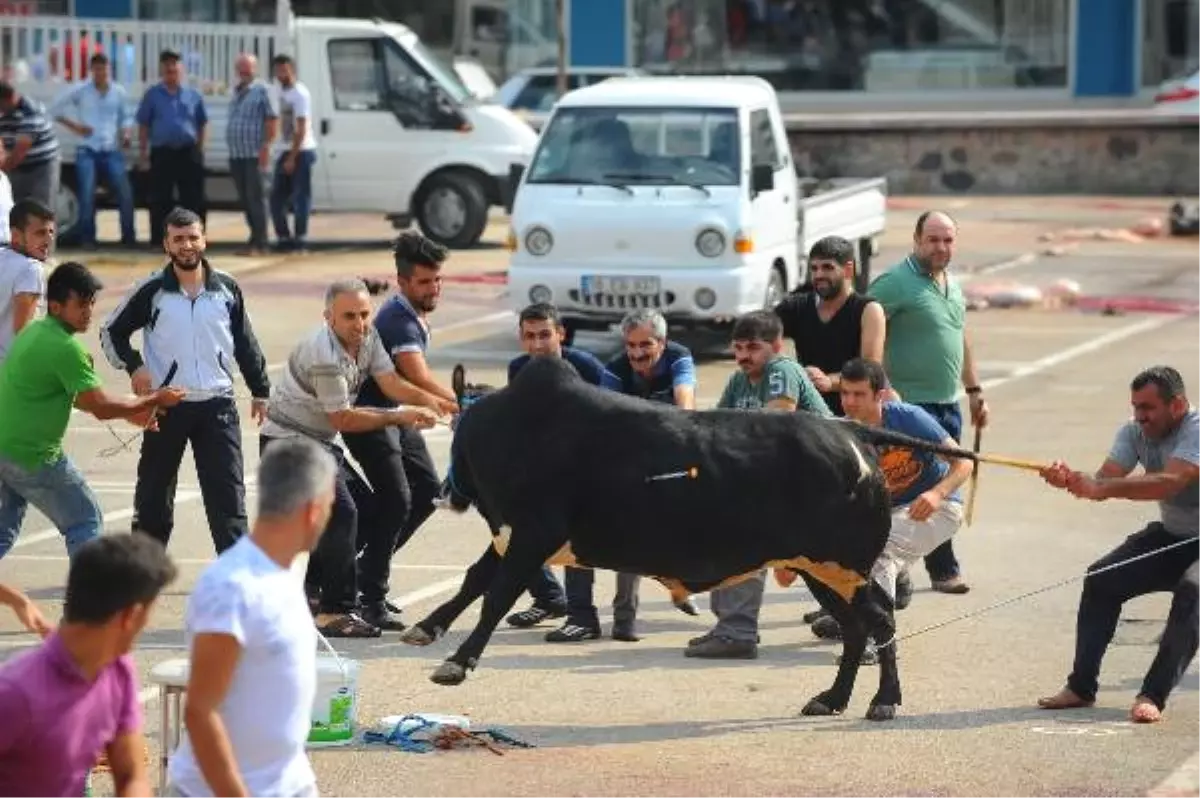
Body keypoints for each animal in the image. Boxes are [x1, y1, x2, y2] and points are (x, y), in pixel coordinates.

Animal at [403, 357, 974, 720]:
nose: (447, 494)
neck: (510, 427)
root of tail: (853, 431)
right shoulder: (513, 534)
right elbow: (476, 578)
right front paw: (427, 628)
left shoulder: (533, 533)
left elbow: (496, 593)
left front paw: (456, 662)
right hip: (820, 570)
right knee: (857, 629)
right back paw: (831, 699)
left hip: (844, 566)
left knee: (880, 622)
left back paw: (883, 701)